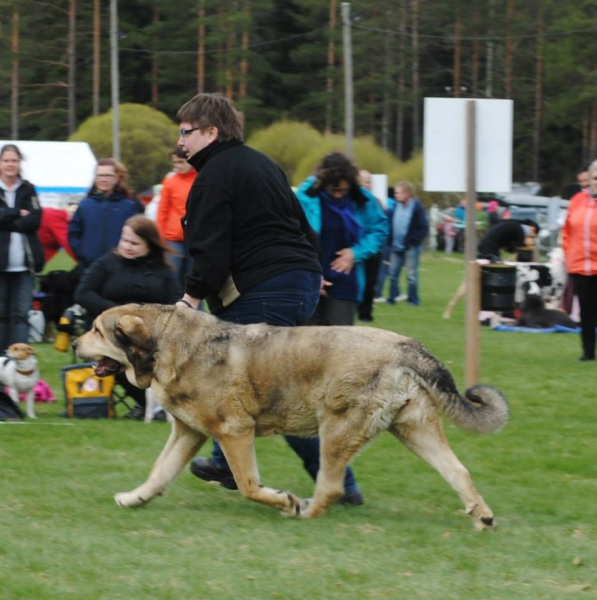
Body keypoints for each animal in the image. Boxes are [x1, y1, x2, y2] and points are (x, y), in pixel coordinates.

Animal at [75, 304, 508, 528]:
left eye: (96, 328)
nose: (76, 342)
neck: (166, 342)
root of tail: (407, 347)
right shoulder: (187, 433)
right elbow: (159, 474)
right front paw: (134, 498)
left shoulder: (235, 432)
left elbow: (249, 485)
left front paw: (283, 501)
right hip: (414, 429)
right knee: (458, 471)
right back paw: (482, 516)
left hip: (335, 429)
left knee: (330, 487)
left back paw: (304, 511)